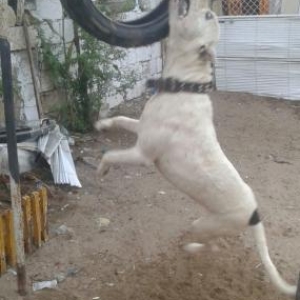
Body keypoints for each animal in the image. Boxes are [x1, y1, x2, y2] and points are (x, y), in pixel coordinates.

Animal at [95, 0, 296, 296]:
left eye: (209, 14)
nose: (199, 2)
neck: (184, 85)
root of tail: (255, 213)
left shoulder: (142, 154)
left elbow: (111, 154)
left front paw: (101, 170)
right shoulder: (141, 128)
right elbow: (121, 119)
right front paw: (102, 123)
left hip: (205, 224)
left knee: (211, 245)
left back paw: (190, 247)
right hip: (209, 221)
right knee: (215, 245)